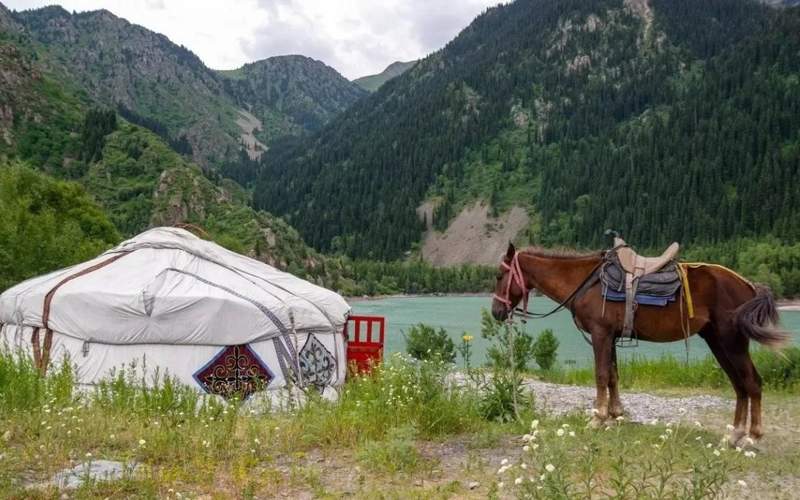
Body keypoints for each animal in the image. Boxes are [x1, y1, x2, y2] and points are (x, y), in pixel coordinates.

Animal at [490, 243, 792, 446]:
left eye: (498, 275)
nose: (496, 312)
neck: (586, 283)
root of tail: (749, 285)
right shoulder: (610, 336)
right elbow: (613, 376)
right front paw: (615, 415)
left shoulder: (600, 334)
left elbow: (601, 375)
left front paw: (597, 418)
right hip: (718, 341)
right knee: (739, 385)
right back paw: (734, 435)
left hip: (732, 342)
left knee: (752, 383)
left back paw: (752, 437)